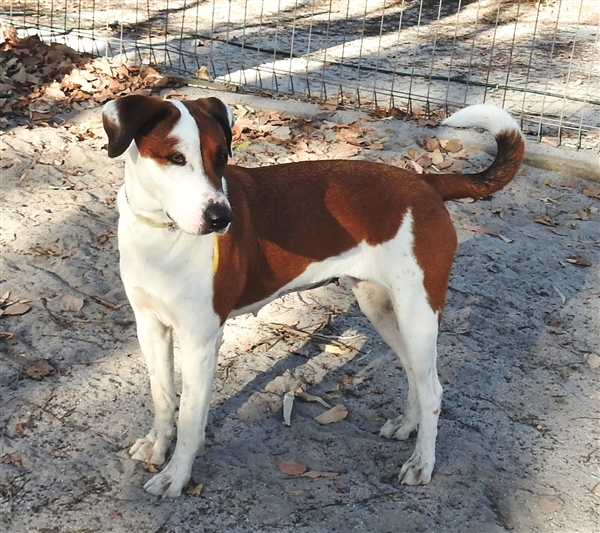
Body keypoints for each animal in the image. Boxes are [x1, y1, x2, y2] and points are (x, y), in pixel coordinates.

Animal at [101, 93, 524, 496]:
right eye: (175, 157)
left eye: (221, 157)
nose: (222, 218)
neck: (162, 234)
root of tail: (426, 184)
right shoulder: (150, 327)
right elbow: (161, 397)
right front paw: (158, 446)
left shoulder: (200, 340)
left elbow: (190, 419)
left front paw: (176, 477)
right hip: (381, 309)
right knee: (414, 376)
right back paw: (407, 426)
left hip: (417, 314)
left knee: (433, 389)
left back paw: (422, 463)